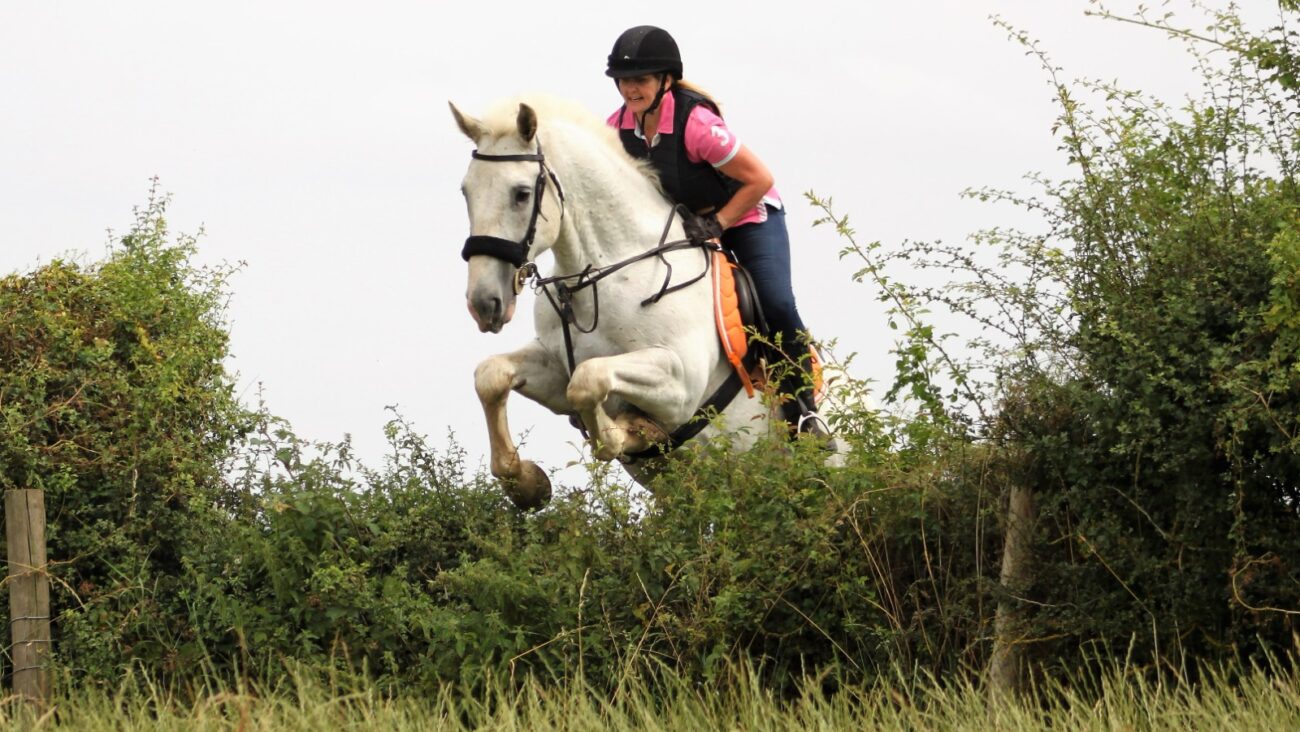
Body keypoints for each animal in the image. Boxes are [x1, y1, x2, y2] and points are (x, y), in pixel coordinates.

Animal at [454, 96, 774, 509]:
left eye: (521, 193)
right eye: (466, 191)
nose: (484, 302)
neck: (601, 277)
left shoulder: (681, 383)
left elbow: (589, 383)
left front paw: (632, 432)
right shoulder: (556, 366)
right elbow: (491, 375)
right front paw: (525, 483)